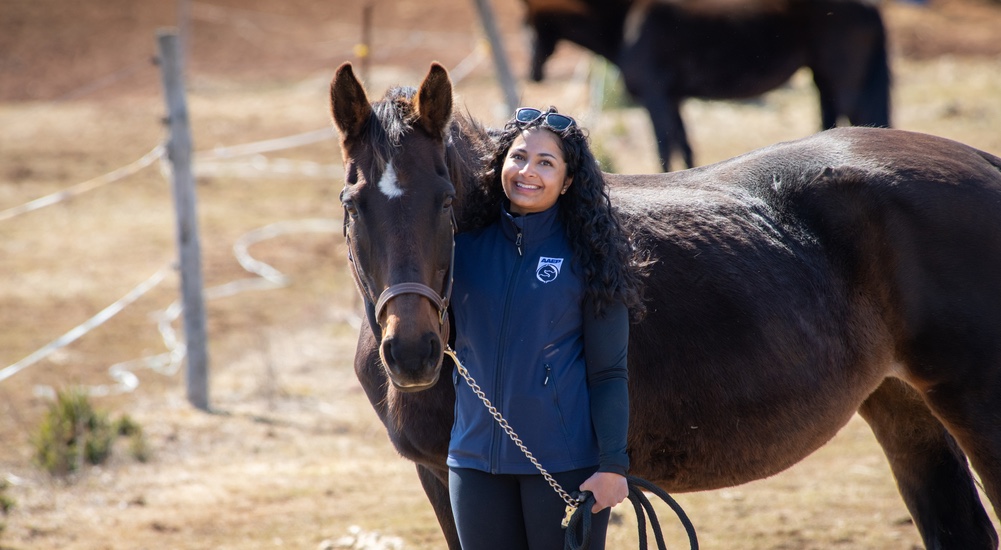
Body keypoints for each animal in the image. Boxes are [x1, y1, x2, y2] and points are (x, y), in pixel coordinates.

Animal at [328, 62, 1001, 549]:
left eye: (444, 200)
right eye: (353, 202)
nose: (412, 352)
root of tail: (983, 162)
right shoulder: (441, 477)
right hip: (902, 405)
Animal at [523, 0, 891, 171]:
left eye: (528, 25)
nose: (532, 73)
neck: (626, 21)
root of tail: (869, 7)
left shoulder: (656, 97)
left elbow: (664, 148)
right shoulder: (673, 99)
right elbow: (684, 147)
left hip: (840, 81)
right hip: (822, 80)